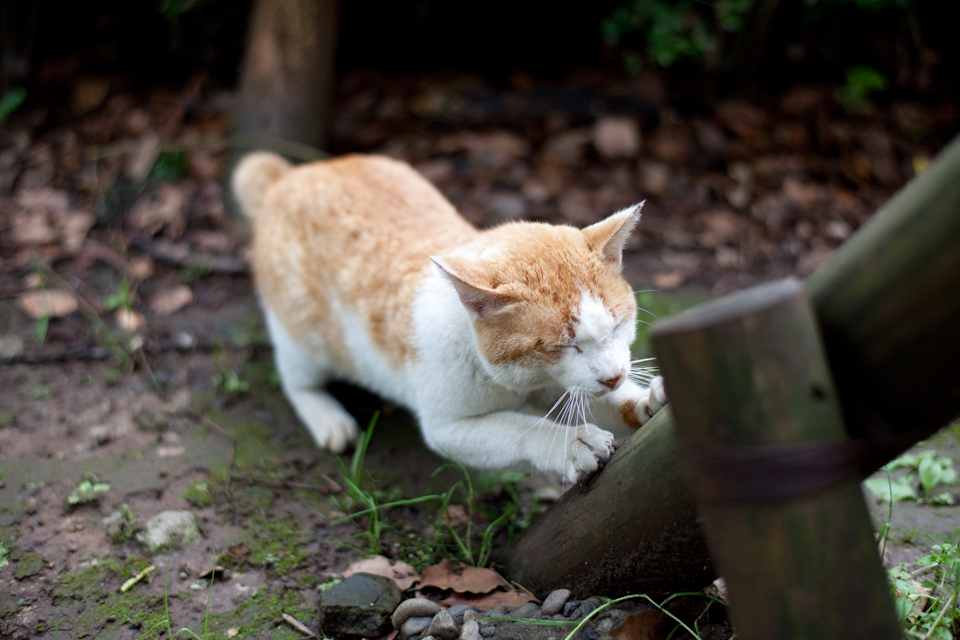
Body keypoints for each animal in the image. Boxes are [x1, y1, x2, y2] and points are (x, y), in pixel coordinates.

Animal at [233, 152, 668, 482]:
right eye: (566, 346)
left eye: (617, 326)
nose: (613, 375)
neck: (524, 384)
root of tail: (288, 176)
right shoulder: (447, 427)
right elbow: (519, 428)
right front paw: (570, 444)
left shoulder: (564, 387)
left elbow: (610, 401)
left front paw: (649, 398)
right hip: (303, 335)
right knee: (296, 379)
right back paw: (328, 418)